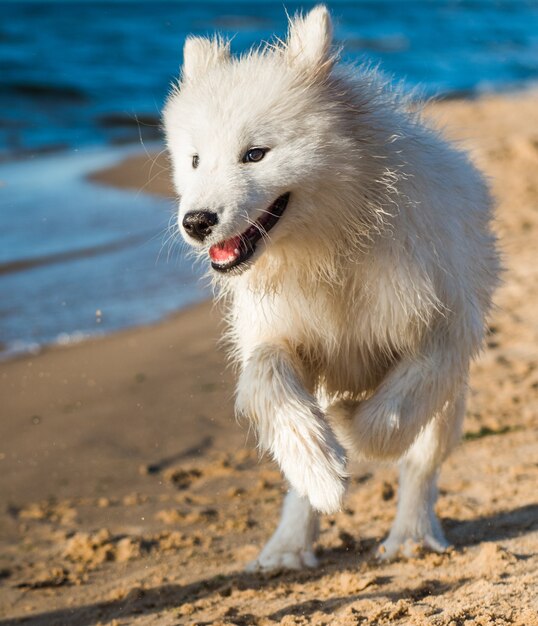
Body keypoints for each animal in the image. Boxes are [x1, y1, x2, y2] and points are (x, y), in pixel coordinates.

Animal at [163, 6, 498, 572]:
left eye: (255, 154)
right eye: (194, 160)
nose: (197, 222)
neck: (331, 247)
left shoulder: (442, 329)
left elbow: (390, 417)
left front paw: (347, 423)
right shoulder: (279, 332)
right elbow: (267, 377)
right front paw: (321, 468)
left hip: (451, 400)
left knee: (422, 463)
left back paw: (410, 536)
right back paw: (286, 547)